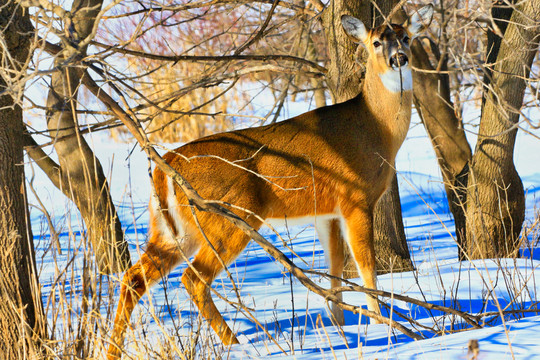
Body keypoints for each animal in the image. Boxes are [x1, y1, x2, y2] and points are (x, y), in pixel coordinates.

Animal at [106, 4, 434, 358]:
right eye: (375, 42)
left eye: (406, 37)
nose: (399, 58)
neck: (376, 129)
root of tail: (164, 168)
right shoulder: (355, 197)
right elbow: (366, 266)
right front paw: (383, 326)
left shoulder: (326, 211)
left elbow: (335, 267)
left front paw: (341, 328)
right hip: (231, 216)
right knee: (193, 278)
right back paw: (237, 344)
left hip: (173, 230)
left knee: (134, 277)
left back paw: (112, 348)